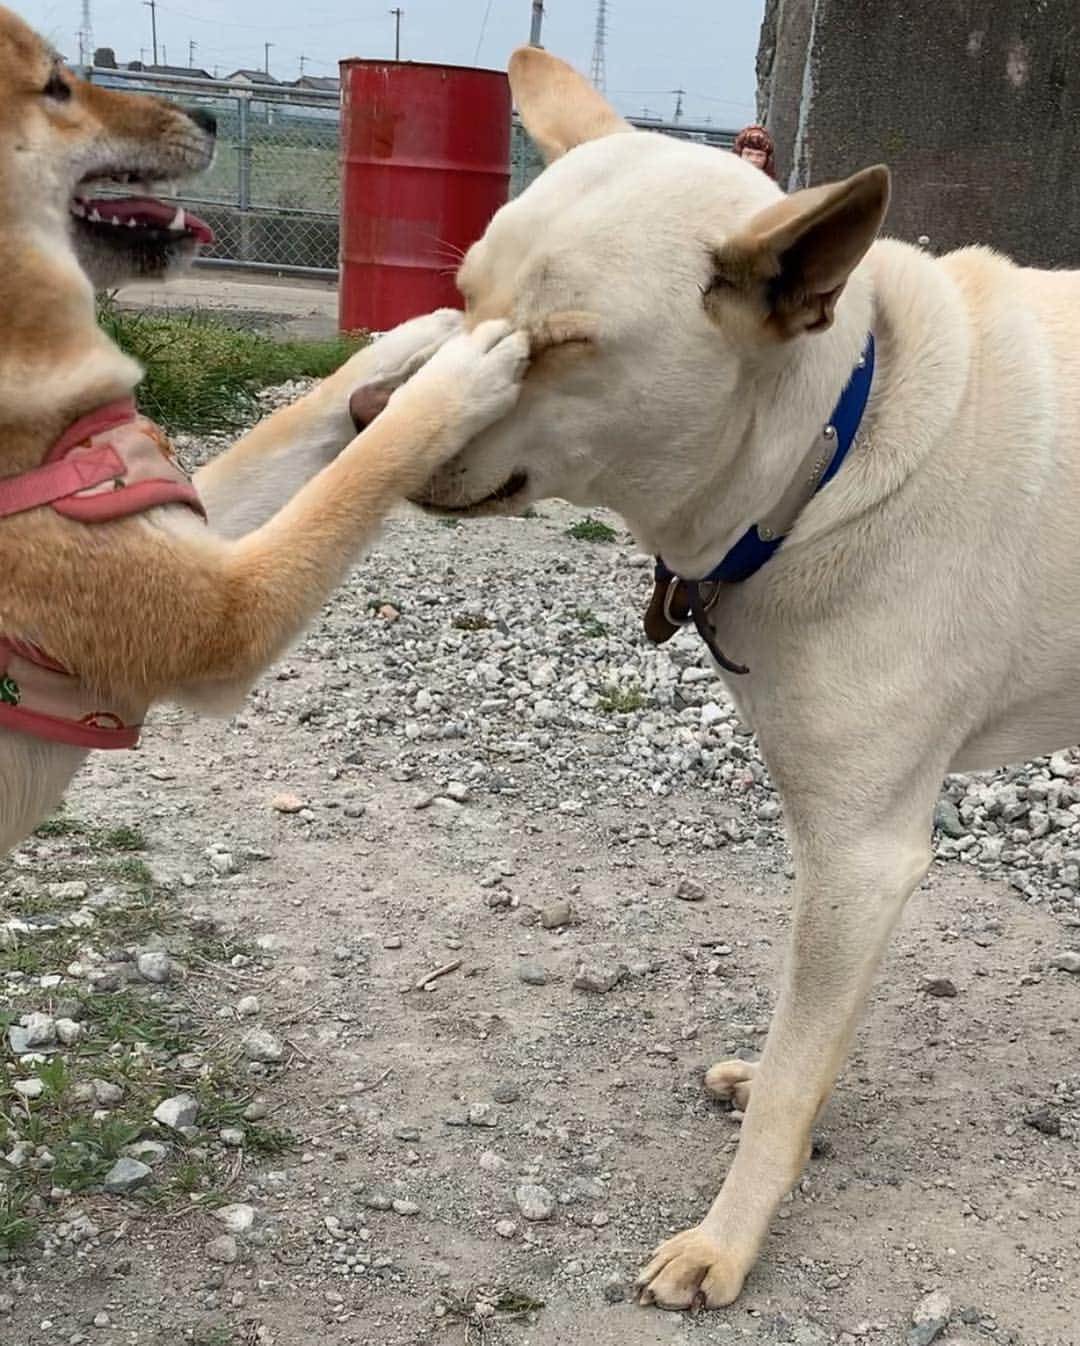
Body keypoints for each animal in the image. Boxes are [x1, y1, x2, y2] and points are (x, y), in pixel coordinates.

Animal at [0, 7, 525, 850]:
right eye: (55, 86)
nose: (211, 114)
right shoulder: (229, 614)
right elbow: (363, 468)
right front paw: (456, 376)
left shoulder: (178, 509)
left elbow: (296, 423)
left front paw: (421, 332)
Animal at [412, 47, 1077, 1308]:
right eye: (464, 294)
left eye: (563, 344)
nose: (374, 415)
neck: (834, 448)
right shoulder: (839, 859)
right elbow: (799, 1039)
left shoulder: (864, 853)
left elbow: (793, 1070)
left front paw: (726, 1238)